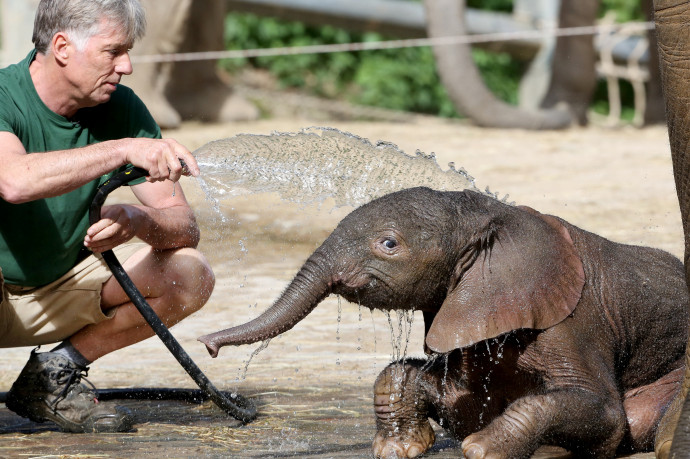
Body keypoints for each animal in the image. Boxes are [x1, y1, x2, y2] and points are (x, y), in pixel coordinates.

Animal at [198, 188, 684, 459]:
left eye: (388, 244)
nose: (207, 345)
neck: (492, 217)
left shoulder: (572, 324)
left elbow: (606, 415)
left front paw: (482, 450)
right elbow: (444, 391)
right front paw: (396, 448)